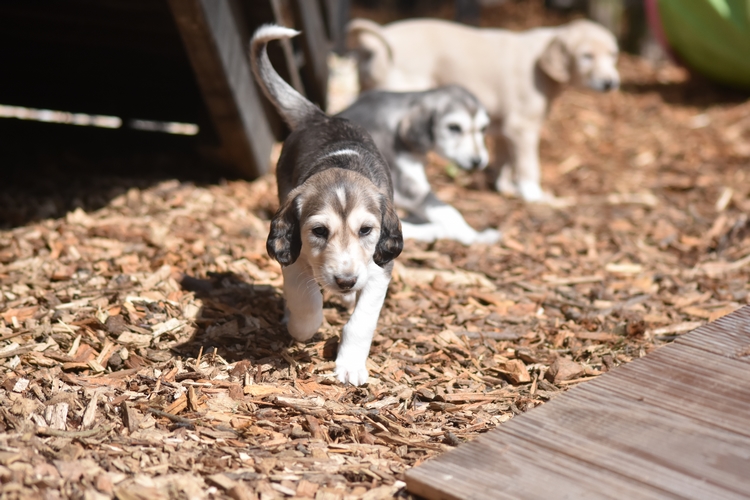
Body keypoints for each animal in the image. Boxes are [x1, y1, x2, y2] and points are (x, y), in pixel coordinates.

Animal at [251, 25, 406, 386]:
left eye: (366, 230)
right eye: (319, 231)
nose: (346, 281)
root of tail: (320, 117)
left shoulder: (379, 269)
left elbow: (361, 321)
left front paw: (350, 365)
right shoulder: (293, 258)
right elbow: (306, 301)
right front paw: (301, 327)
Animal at [338, 87, 502, 245]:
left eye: (483, 128)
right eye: (454, 127)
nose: (477, 161)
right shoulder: (404, 185)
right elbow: (448, 210)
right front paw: (474, 236)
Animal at [350, 18, 620, 201]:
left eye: (613, 55)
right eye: (586, 56)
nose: (611, 83)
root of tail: (377, 42)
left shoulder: (503, 129)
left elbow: (503, 161)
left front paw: (505, 188)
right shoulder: (522, 128)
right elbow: (528, 165)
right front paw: (534, 196)